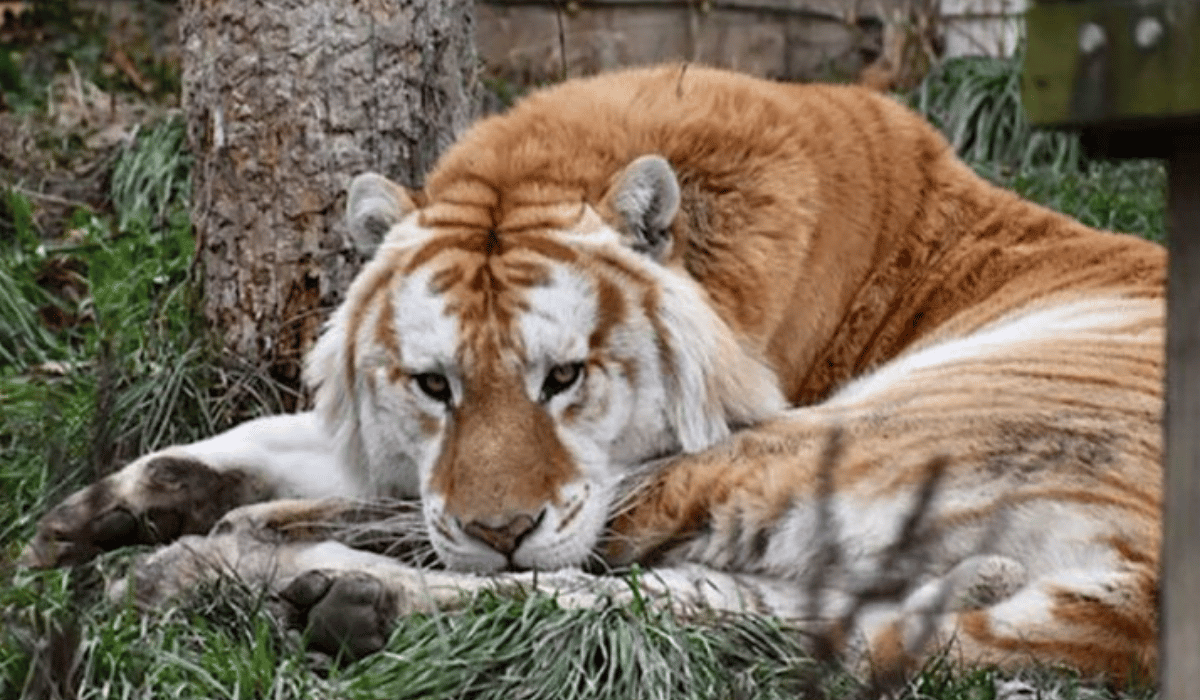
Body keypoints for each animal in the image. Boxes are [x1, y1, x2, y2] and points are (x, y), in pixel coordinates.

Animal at [22, 64, 1164, 682]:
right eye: (433, 385)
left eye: (564, 377)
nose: (498, 524)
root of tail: (1138, 605)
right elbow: (296, 440)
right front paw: (88, 512)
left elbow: (373, 495)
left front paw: (147, 534)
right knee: (675, 605)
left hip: (830, 439)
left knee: (554, 583)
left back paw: (224, 575)